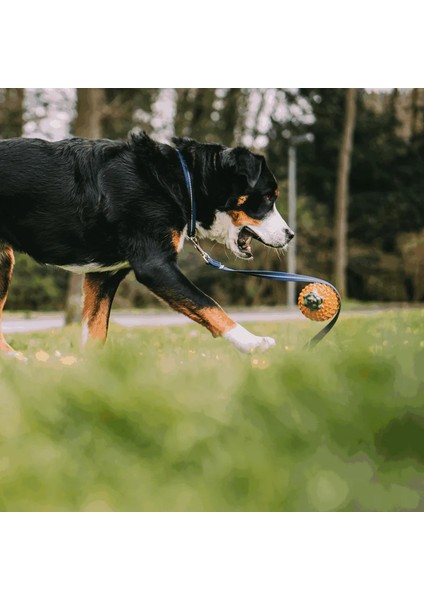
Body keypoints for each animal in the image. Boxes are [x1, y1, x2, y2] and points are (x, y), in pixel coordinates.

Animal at [0, 132, 294, 354]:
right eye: (268, 197)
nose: (290, 234)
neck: (179, 182)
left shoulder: (103, 276)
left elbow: (95, 330)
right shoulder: (155, 265)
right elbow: (210, 305)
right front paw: (252, 343)